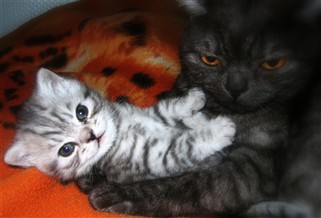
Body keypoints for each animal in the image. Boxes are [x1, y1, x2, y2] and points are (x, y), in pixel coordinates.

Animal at [3, 68, 235, 184]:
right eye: (66, 149)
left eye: (81, 112)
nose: (91, 136)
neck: (120, 130)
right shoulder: (154, 157)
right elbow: (185, 145)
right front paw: (219, 130)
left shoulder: (148, 114)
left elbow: (166, 108)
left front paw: (192, 101)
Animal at [85, 0, 320, 216]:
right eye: (210, 59)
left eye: (272, 63)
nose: (235, 88)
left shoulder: (253, 170)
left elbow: (192, 184)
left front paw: (120, 191)